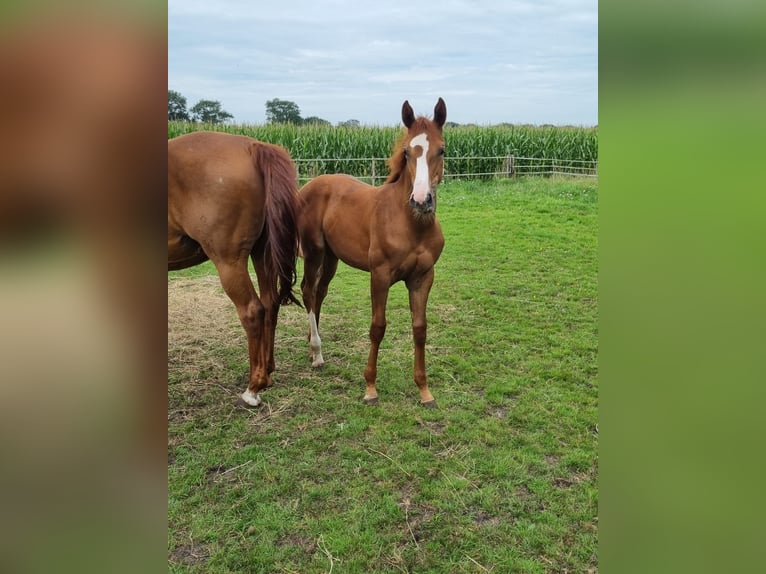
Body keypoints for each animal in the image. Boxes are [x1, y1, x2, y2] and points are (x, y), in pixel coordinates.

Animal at [170, 130, 302, 410]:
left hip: (229, 262)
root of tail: (253, 146)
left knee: (253, 310)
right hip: (263, 252)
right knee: (270, 304)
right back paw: (267, 372)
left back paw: (254, 388)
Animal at [296, 98, 448, 404]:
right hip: (314, 251)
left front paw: (424, 390)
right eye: (407, 151)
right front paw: (370, 388)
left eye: (441, 149)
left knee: (319, 292)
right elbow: (377, 328)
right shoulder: (380, 276)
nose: (421, 200)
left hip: (332, 258)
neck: (412, 225)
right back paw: (317, 353)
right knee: (307, 290)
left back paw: (311, 345)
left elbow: (420, 329)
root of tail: (309, 185)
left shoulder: (423, 277)